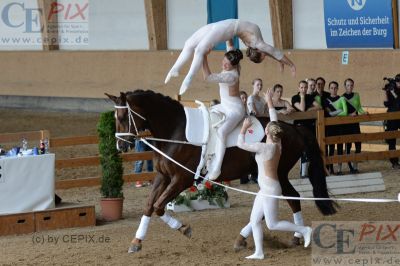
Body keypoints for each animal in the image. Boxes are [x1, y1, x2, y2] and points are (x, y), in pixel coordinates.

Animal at [106, 90, 338, 252]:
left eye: (123, 117)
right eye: (115, 117)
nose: (120, 145)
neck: (175, 131)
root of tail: (293, 128)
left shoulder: (181, 179)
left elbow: (159, 207)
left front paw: (184, 229)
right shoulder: (163, 176)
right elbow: (149, 206)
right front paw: (136, 242)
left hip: (276, 172)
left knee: (292, 197)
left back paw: (294, 236)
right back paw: (249, 238)